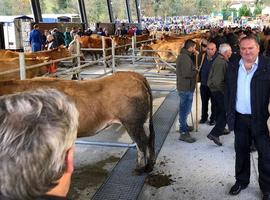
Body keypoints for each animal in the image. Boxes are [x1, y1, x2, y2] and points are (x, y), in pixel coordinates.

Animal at [0, 71, 156, 173]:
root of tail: (133, 75)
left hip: (132, 123)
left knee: (142, 143)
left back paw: (140, 168)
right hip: (140, 122)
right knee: (150, 140)